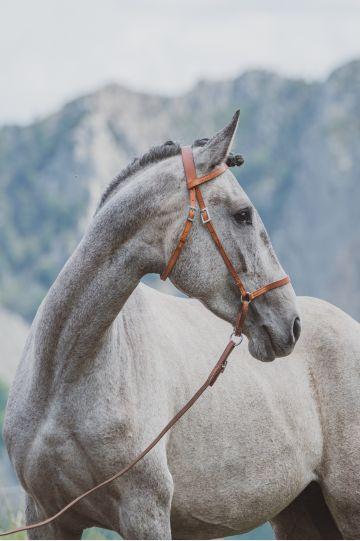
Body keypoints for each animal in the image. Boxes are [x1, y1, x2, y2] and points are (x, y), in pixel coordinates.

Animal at [3, 112, 358, 536]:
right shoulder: (45, 516)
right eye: (242, 214)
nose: (291, 324)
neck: (63, 375)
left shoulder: (146, 514)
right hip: (302, 512)